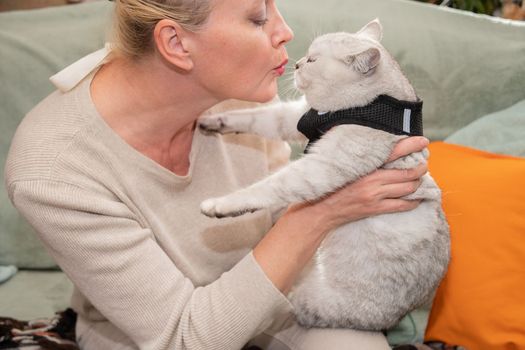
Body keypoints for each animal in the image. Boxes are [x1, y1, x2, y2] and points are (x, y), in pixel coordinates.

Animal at [199, 19, 448, 330]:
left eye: (313, 60)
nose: (296, 63)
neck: (373, 107)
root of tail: (397, 318)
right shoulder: (299, 117)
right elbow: (258, 117)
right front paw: (214, 120)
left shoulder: (323, 165)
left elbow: (271, 186)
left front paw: (221, 205)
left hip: (312, 301)